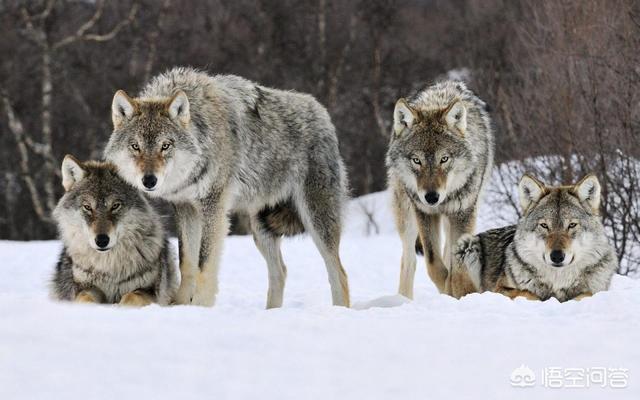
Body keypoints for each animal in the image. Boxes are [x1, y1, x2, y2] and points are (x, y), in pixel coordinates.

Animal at [50, 156, 178, 306]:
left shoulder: (149, 291)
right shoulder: (84, 287)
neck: (109, 267)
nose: (101, 240)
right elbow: (85, 298)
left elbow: (131, 297)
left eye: (115, 206)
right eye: (87, 207)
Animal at [104, 67, 350, 308]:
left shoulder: (213, 207)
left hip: (316, 220)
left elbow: (204, 264)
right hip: (261, 228)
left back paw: (339, 310)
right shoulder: (185, 208)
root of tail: (322, 112)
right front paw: (181, 305)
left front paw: (200, 307)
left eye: (165, 146)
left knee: (339, 273)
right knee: (280, 272)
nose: (149, 180)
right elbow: (187, 263)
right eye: (135, 146)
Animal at [384, 80, 496, 296]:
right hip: (407, 216)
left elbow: (455, 263)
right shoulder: (425, 213)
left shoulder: (463, 213)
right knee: (409, 260)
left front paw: (457, 290)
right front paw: (447, 289)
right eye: (416, 160)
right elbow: (433, 264)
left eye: (444, 159)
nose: (432, 197)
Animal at [452, 173, 616, 302]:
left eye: (572, 225)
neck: (558, 281)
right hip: (466, 245)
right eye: (544, 225)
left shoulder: (596, 291)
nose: (557, 256)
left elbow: (586, 294)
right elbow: (528, 293)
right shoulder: (500, 289)